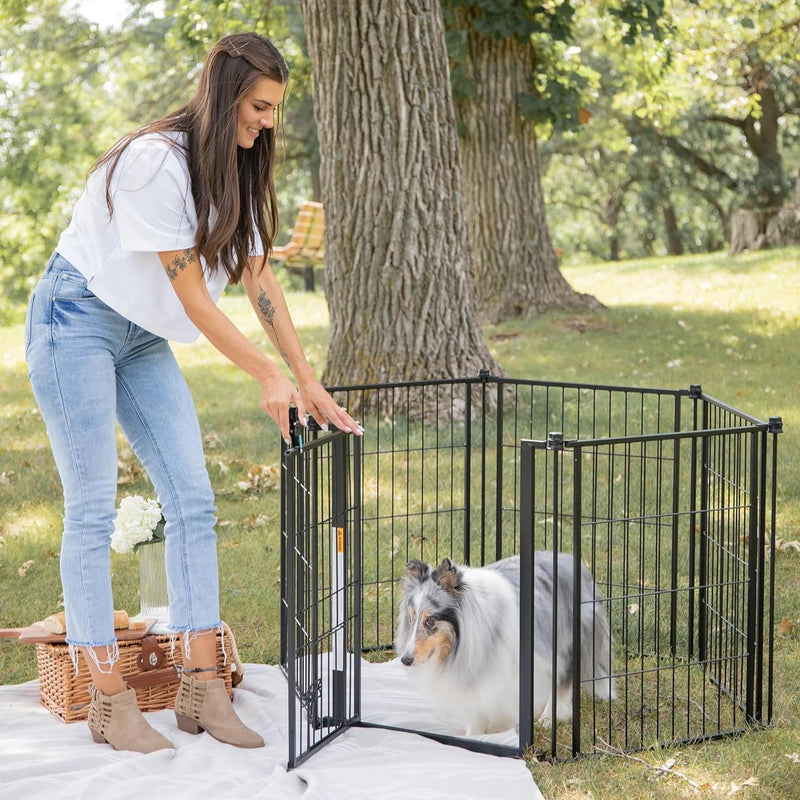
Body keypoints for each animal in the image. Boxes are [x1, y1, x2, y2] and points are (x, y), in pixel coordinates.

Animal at [396, 552, 616, 736]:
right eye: (411, 618)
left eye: (430, 621)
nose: (405, 660)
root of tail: (575, 563)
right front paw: (475, 735)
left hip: (564, 646)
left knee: (562, 682)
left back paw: (548, 718)